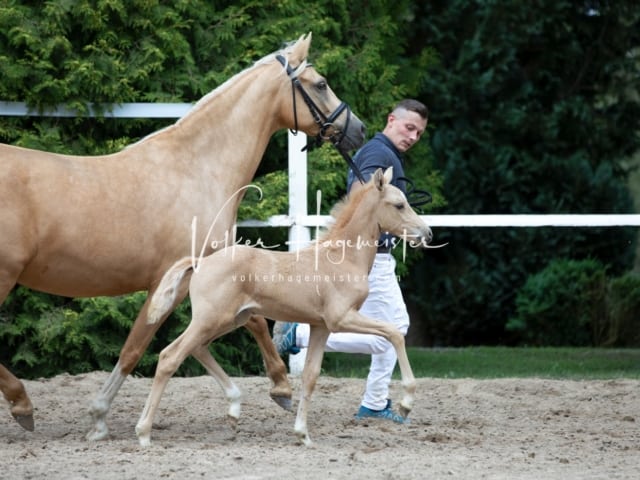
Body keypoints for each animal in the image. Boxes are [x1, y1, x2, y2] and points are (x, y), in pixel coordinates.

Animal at [137, 168, 432, 446]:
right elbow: (394, 333)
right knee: (170, 356)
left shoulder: (321, 327)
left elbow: (310, 376)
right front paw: (406, 404)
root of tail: (201, 262)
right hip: (211, 319)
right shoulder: (341, 318)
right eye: (399, 205)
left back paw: (234, 407)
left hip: (229, 320)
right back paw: (144, 433)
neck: (342, 258)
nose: (427, 233)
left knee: (196, 349)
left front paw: (303, 435)